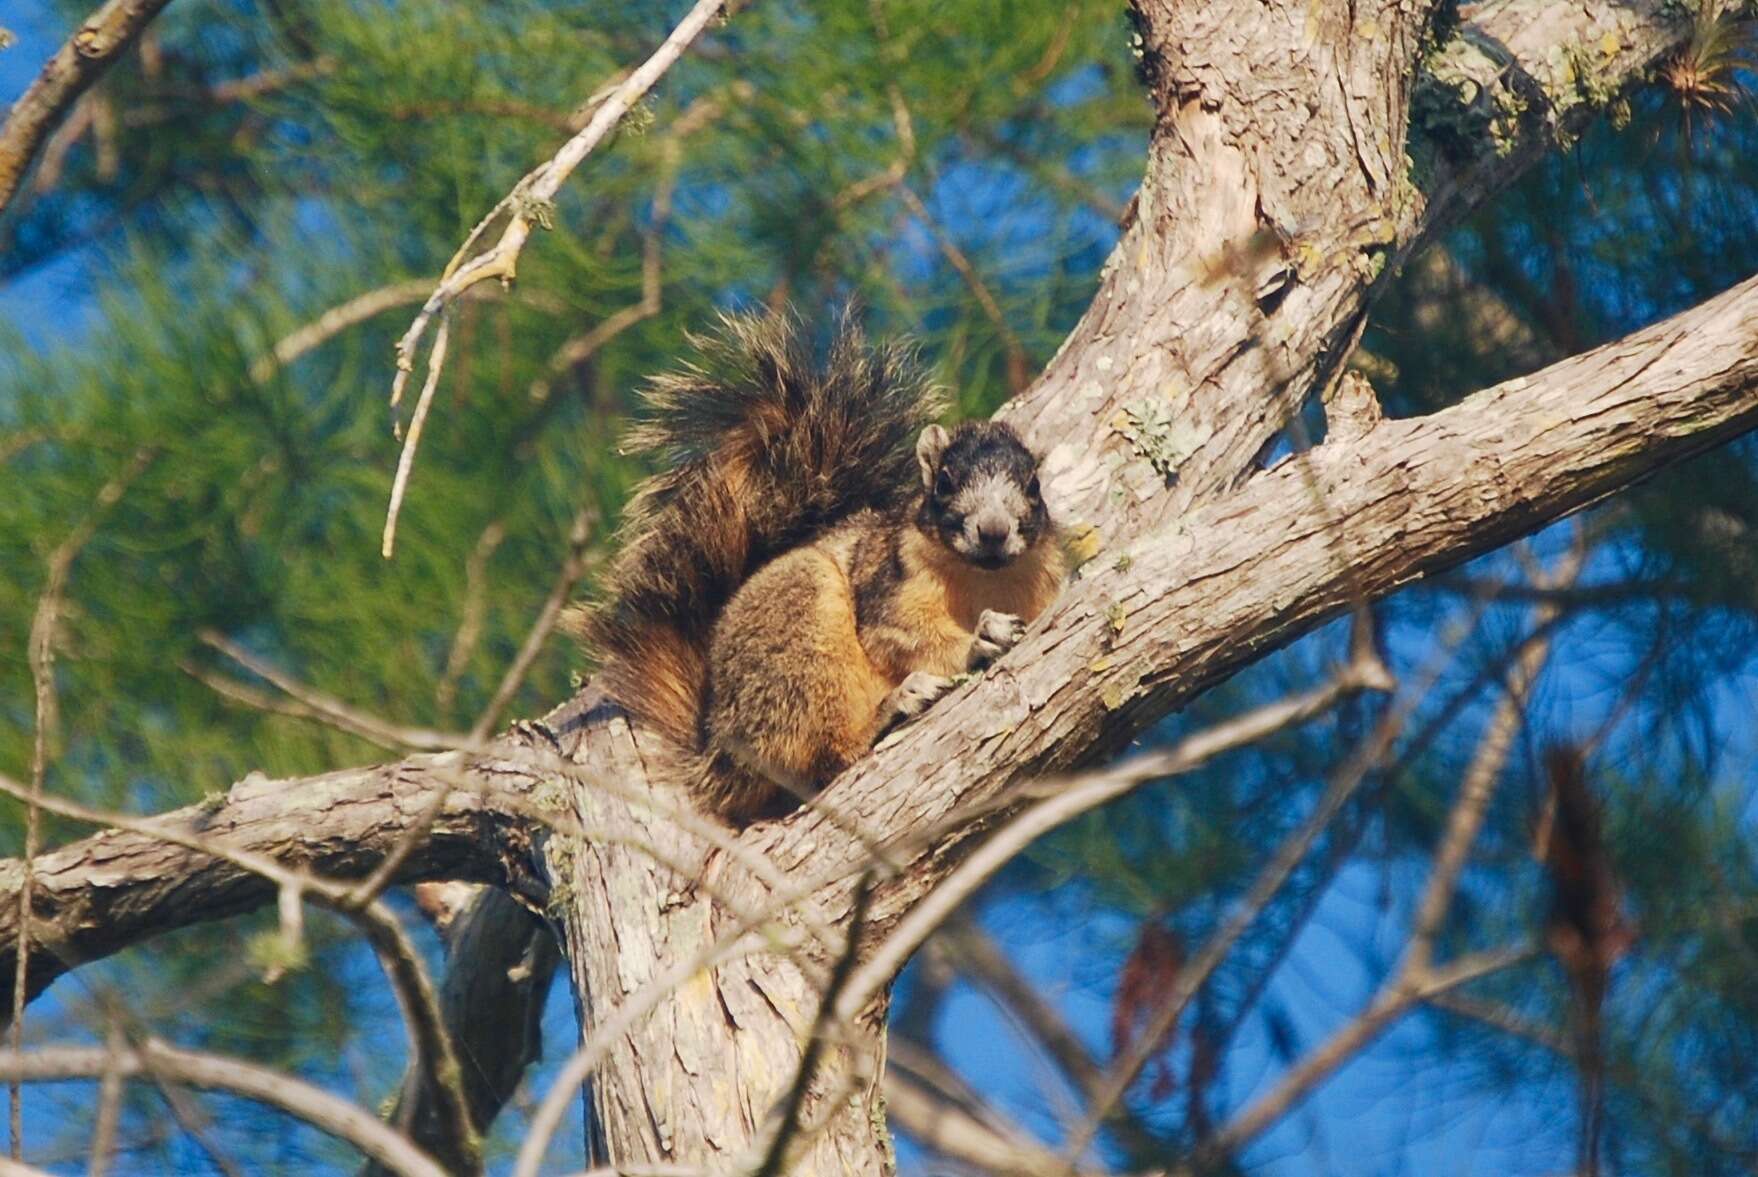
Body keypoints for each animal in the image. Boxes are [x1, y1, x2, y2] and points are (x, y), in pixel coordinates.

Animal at [583, 309, 1061, 825]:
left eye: (1034, 486)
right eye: (945, 483)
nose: (993, 531)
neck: (985, 578)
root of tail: (717, 743)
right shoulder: (889, 583)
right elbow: (903, 636)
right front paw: (980, 637)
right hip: (799, 632)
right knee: (824, 752)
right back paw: (891, 709)